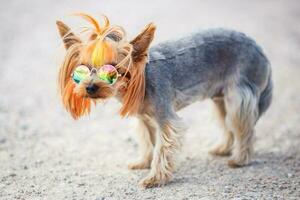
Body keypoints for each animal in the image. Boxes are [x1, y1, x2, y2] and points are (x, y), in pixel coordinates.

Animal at [55, 14, 272, 188]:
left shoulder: (165, 119)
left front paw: (155, 178)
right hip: (220, 98)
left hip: (239, 95)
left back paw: (240, 159)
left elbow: (162, 149)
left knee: (244, 128)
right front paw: (144, 161)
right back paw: (223, 149)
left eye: (112, 70)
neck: (141, 79)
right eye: (81, 69)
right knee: (227, 123)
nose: (90, 88)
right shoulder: (144, 119)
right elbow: (147, 142)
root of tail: (259, 48)